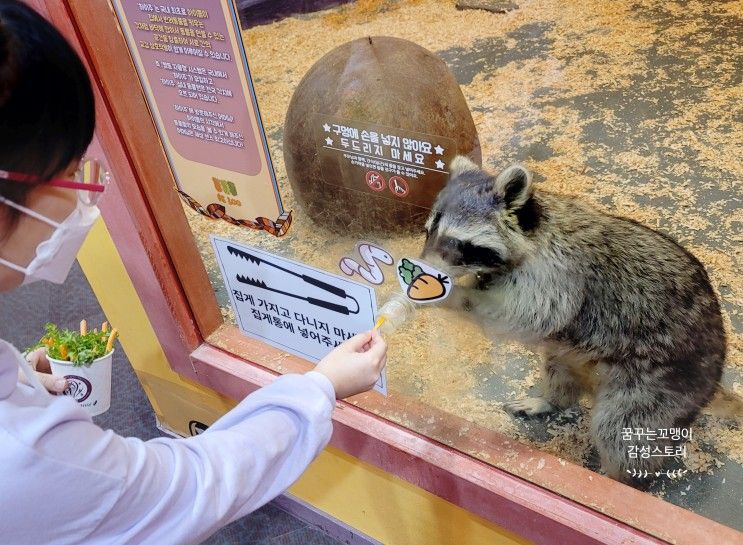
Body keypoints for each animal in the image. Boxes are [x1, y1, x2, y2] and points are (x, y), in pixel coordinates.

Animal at [422, 155, 728, 482]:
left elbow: (525, 315)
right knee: (559, 370)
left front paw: (454, 295)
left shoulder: (558, 276)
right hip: (573, 355)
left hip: (663, 381)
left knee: (621, 431)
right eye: (428, 232)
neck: (534, 231)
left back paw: (619, 478)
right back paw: (553, 399)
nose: (422, 268)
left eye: (457, 243)